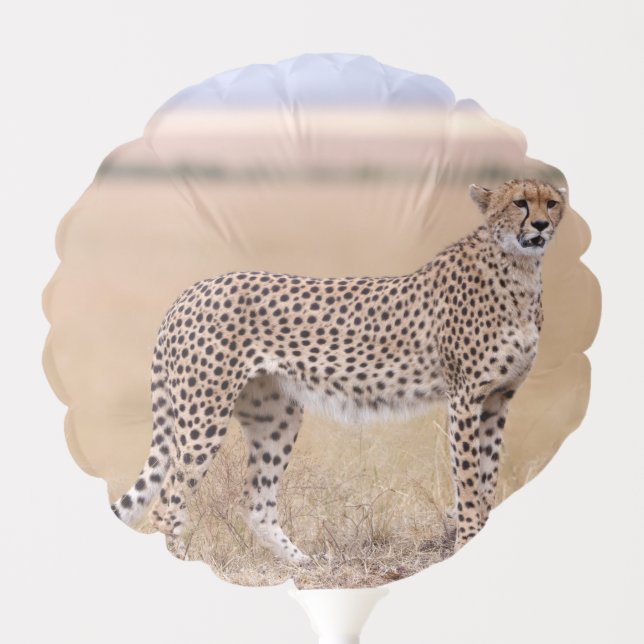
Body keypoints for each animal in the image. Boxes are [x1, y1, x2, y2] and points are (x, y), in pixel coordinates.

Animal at [111, 178, 566, 562]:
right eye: (519, 202)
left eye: (552, 203)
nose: (541, 225)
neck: (519, 270)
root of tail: (190, 291)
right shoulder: (466, 397)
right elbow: (470, 481)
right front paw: (467, 542)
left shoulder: (498, 398)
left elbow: (488, 478)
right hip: (203, 414)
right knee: (168, 503)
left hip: (276, 415)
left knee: (255, 501)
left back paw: (303, 564)